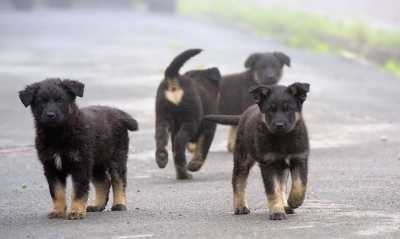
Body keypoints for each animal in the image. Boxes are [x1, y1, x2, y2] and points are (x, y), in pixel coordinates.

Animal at [19, 79, 139, 220]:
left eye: (60, 100)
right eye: (41, 101)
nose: (50, 115)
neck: (58, 134)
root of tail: (116, 112)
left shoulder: (80, 165)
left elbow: (79, 191)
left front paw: (76, 211)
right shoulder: (51, 167)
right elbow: (57, 192)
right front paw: (58, 211)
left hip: (116, 157)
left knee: (118, 180)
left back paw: (119, 204)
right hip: (95, 163)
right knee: (104, 182)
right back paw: (97, 206)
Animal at [155, 48, 222, 179]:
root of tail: (174, 76)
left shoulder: (174, 129)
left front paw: (182, 174)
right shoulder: (209, 128)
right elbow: (202, 149)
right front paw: (194, 166)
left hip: (162, 117)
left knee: (162, 138)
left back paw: (162, 159)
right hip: (190, 120)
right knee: (180, 142)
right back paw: (183, 163)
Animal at [203, 82, 310, 220]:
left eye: (288, 109)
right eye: (270, 110)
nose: (279, 125)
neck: (282, 139)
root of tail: (244, 114)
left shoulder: (299, 159)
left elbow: (299, 185)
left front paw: (293, 202)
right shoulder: (268, 163)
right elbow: (273, 190)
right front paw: (277, 212)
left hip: (280, 167)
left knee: (282, 185)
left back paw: (285, 205)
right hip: (243, 158)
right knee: (238, 181)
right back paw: (240, 206)